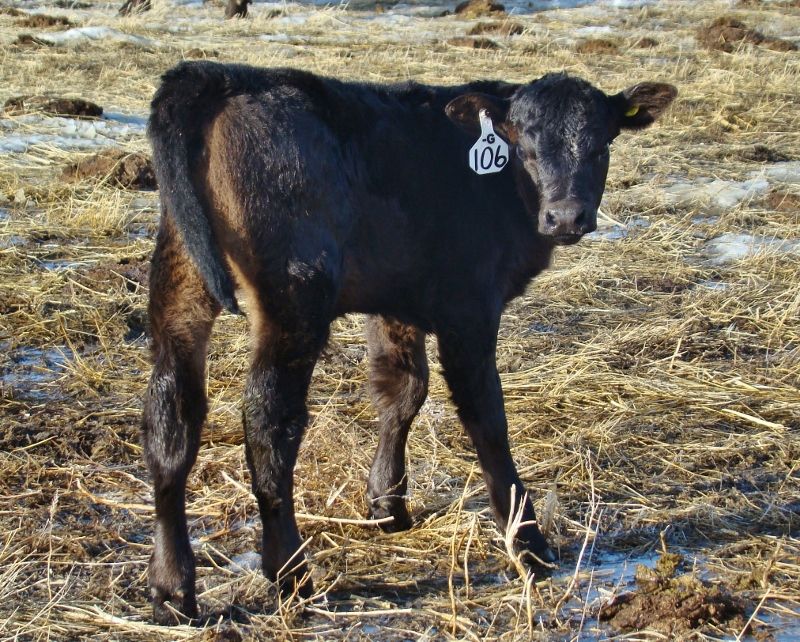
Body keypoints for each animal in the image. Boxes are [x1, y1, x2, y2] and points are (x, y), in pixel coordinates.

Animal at [143, 61, 676, 624]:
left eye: (601, 145)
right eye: (525, 145)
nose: (567, 216)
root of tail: (217, 73)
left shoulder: (396, 299)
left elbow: (403, 392)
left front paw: (387, 504)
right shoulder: (469, 305)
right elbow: (487, 419)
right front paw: (528, 543)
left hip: (180, 281)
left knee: (171, 417)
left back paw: (172, 587)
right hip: (294, 292)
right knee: (269, 424)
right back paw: (291, 573)